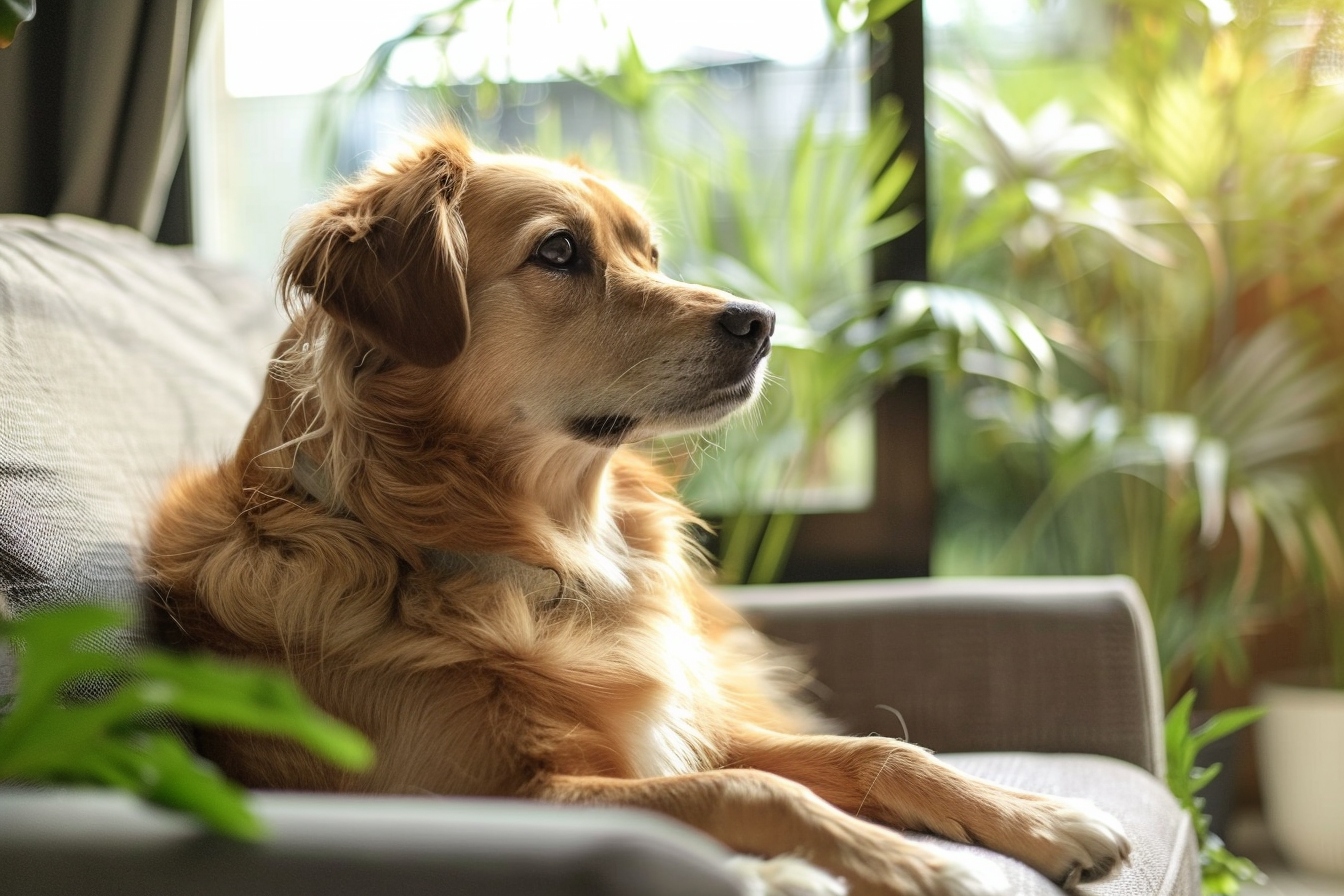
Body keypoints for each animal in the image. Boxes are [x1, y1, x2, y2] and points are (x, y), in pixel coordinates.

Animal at [144, 126, 1134, 896]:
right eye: (558, 251)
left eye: (646, 253)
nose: (761, 323)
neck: (536, 553)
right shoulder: (501, 796)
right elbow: (755, 792)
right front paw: (914, 866)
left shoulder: (681, 730)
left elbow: (877, 752)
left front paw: (1040, 817)